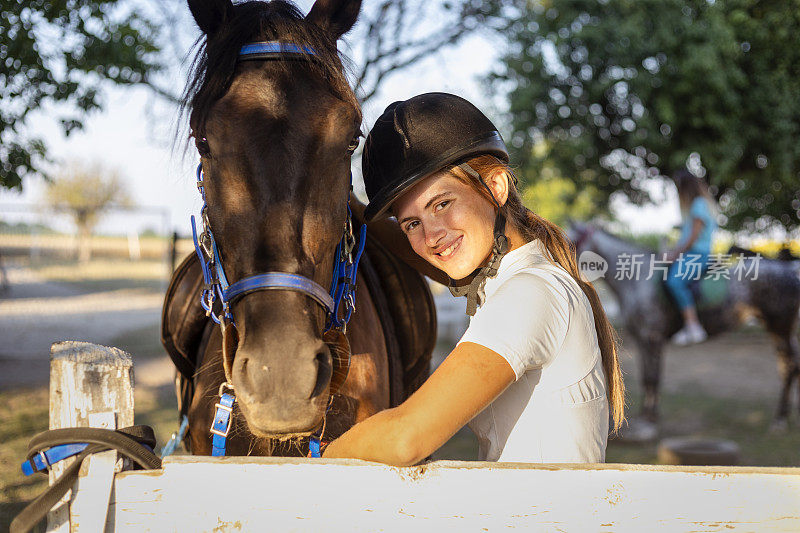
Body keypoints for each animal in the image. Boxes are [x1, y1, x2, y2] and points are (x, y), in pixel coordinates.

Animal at [568, 220, 800, 436]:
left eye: (572, 241)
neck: (638, 279)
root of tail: (788, 271)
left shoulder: (652, 337)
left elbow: (653, 377)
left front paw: (650, 422)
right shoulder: (643, 340)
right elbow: (646, 378)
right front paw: (647, 417)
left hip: (780, 327)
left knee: (788, 367)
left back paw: (779, 421)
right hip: (778, 330)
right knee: (789, 365)